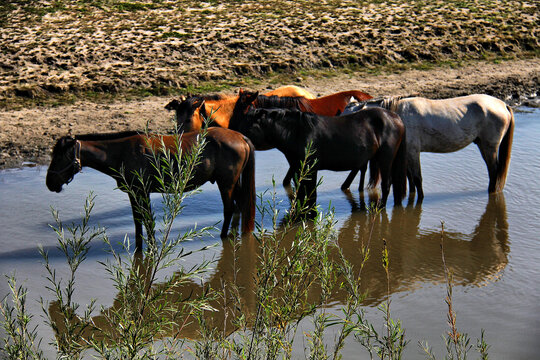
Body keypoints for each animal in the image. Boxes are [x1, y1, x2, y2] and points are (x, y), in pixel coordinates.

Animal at [46, 128, 255, 252]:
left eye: (59, 157)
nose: (49, 183)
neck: (121, 153)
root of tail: (240, 136)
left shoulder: (141, 192)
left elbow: (147, 220)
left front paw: (151, 248)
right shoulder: (134, 193)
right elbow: (139, 221)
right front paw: (140, 249)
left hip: (226, 184)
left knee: (229, 209)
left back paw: (224, 237)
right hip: (234, 184)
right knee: (239, 207)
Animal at [342, 93, 516, 200]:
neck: (398, 117)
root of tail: (503, 105)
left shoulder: (413, 151)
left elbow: (417, 178)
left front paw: (419, 200)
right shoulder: (408, 153)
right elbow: (411, 179)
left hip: (489, 147)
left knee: (494, 172)